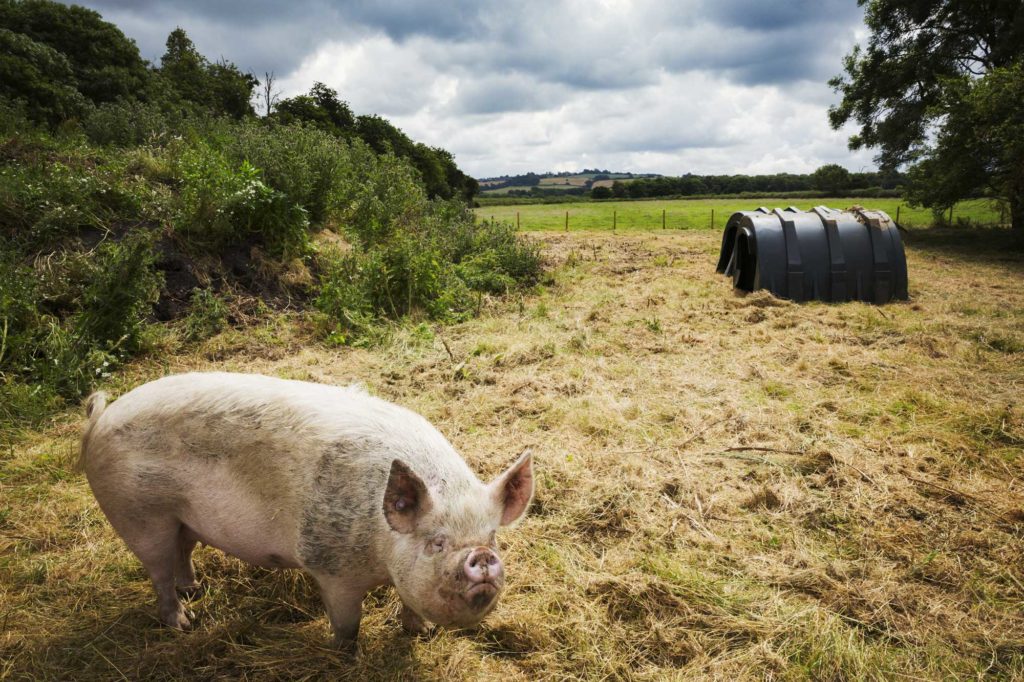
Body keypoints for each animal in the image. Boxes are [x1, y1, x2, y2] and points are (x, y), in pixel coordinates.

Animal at [77, 372, 536, 643]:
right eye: (436, 543)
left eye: (491, 535)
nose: (482, 556)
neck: (382, 552)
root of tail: (100, 419)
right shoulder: (331, 567)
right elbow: (348, 624)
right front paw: (346, 654)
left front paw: (418, 632)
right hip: (138, 515)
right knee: (157, 572)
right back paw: (184, 622)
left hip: (181, 517)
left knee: (183, 551)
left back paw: (196, 589)